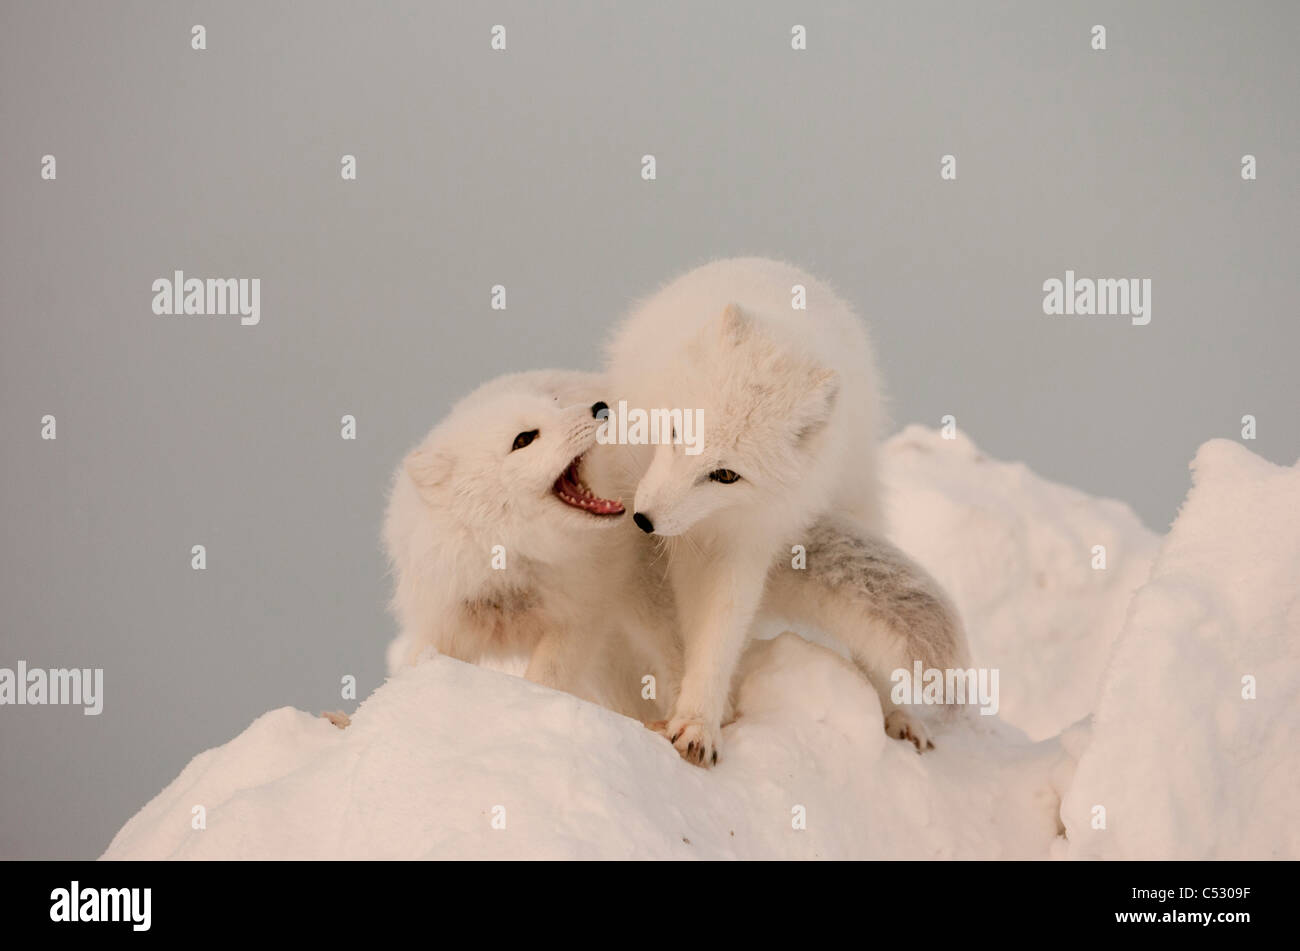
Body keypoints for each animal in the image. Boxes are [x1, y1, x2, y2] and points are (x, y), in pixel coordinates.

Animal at [603, 258, 972, 763]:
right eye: (677, 430)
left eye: (725, 475)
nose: (644, 520)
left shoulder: (746, 542)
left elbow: (718, 637)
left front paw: (698, 722)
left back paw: (896, 714)